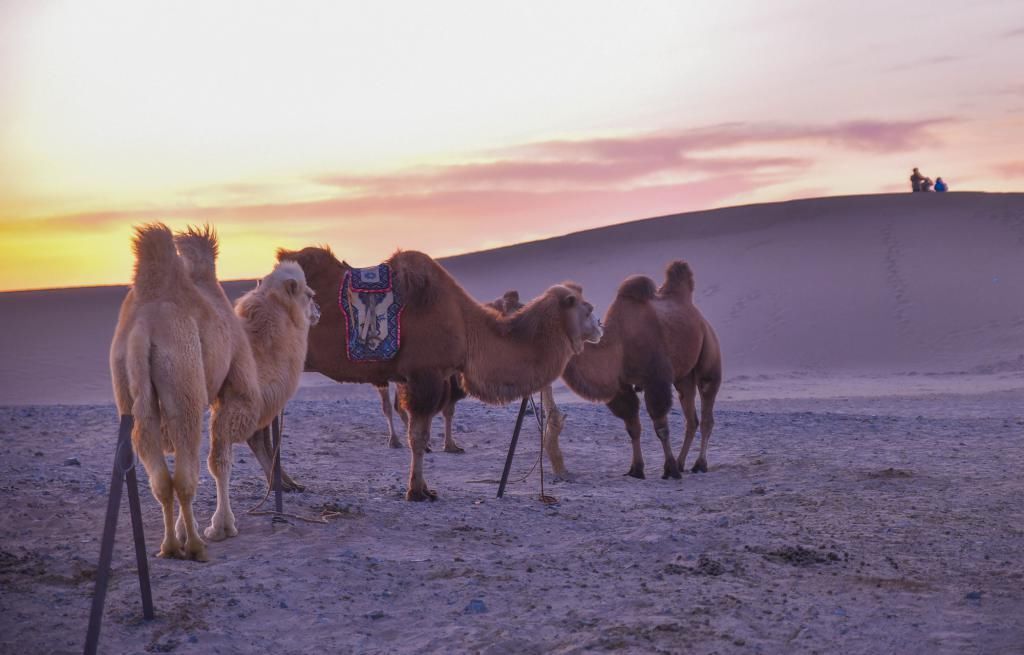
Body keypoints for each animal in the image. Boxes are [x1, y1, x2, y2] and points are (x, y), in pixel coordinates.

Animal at [276, 246, 602, 501]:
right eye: (587, 309)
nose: (600, 327)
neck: (468, 328)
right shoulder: (425, 375)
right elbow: (418, 437)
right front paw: (417, 492)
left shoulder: (425, 379)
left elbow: (423, 432)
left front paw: (422, 487)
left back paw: (287, 484)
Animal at [561, 260, 720, 481]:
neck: (619, 343)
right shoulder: (622, 386)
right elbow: (632, 427)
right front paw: (636, 469)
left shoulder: (656, 379)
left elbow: (661, 427)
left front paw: (670, 469)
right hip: (683, 376)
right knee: (691, 418)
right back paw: (682, 463)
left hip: (708, 352)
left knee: (706, 411)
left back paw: (699, 464)